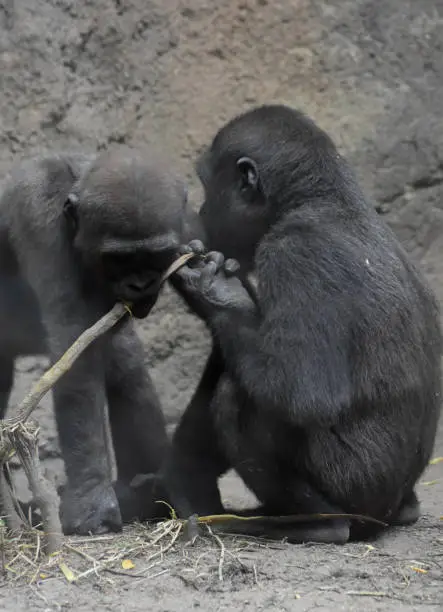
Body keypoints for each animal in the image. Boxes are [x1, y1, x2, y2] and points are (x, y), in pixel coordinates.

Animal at [0, 148, 194, 536]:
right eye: (118, 259)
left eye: (155, 256)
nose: (140, 285)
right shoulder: (38, 214)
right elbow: (74, 347)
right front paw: (92, 503)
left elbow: (108, 345)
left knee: (124, 359)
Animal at [160, 105, 443, 544]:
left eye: (208, 185)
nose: (203, 214)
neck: (319, 199)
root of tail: (389, 509)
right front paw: (187, 470)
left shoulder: (295, 253)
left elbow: (301, 391)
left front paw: (216, 292)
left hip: (357, 492)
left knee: (237, 400)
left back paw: (320, 523)